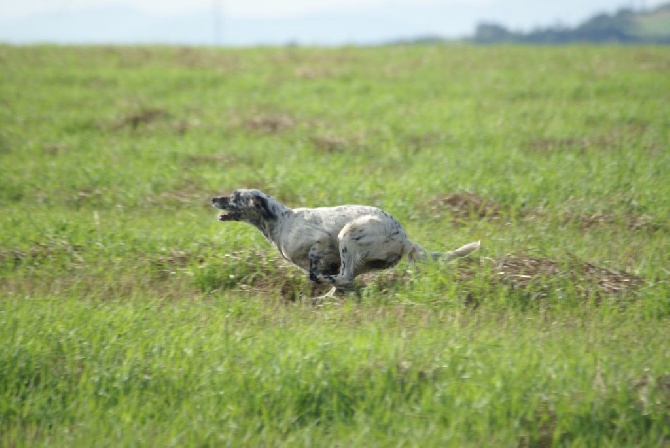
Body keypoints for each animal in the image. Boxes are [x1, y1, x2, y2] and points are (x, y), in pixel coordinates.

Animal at [213, 188, 480, 298]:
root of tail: (405, 238)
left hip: (349, 234)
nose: (214, 198)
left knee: (343, 277)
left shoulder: (318, 241)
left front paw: (317, 277)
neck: (282, 221)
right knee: (345, 280)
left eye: (234, 196)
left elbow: (317, 268)